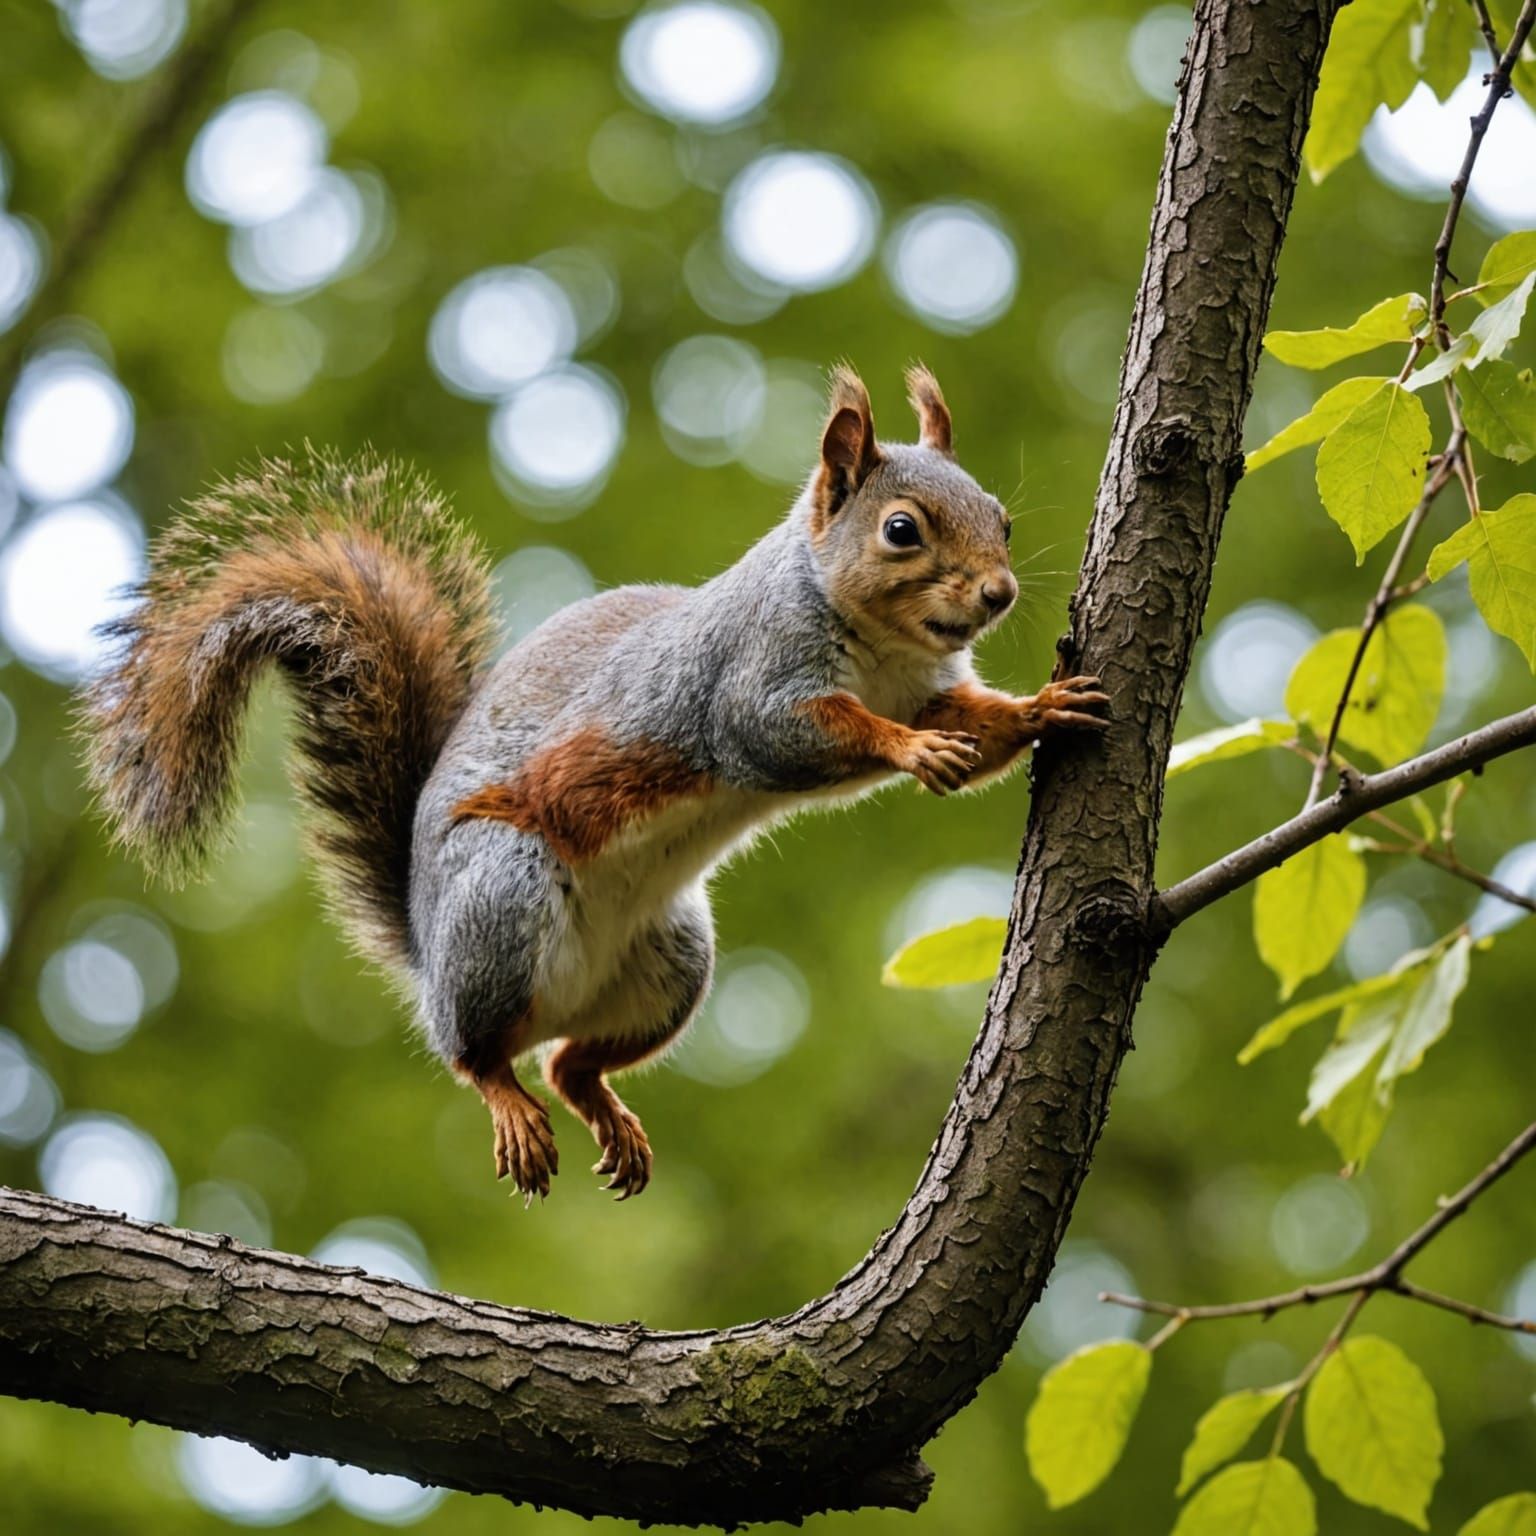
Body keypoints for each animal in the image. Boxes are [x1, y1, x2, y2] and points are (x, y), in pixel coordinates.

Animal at [82, 364, 1107, 1204]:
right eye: (901, 531)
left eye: (1002, 520)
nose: (999, 593)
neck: (887, 650)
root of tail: (429, 942)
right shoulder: (748, 686)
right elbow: (793, 735)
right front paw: (910, 750)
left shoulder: (932, 687)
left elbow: (976, 723)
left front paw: (1043, 707)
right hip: (503, 895)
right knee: (477, 1055)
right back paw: (504, 1096)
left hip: (674, 962)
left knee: (570, 1063)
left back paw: (601, 1106)